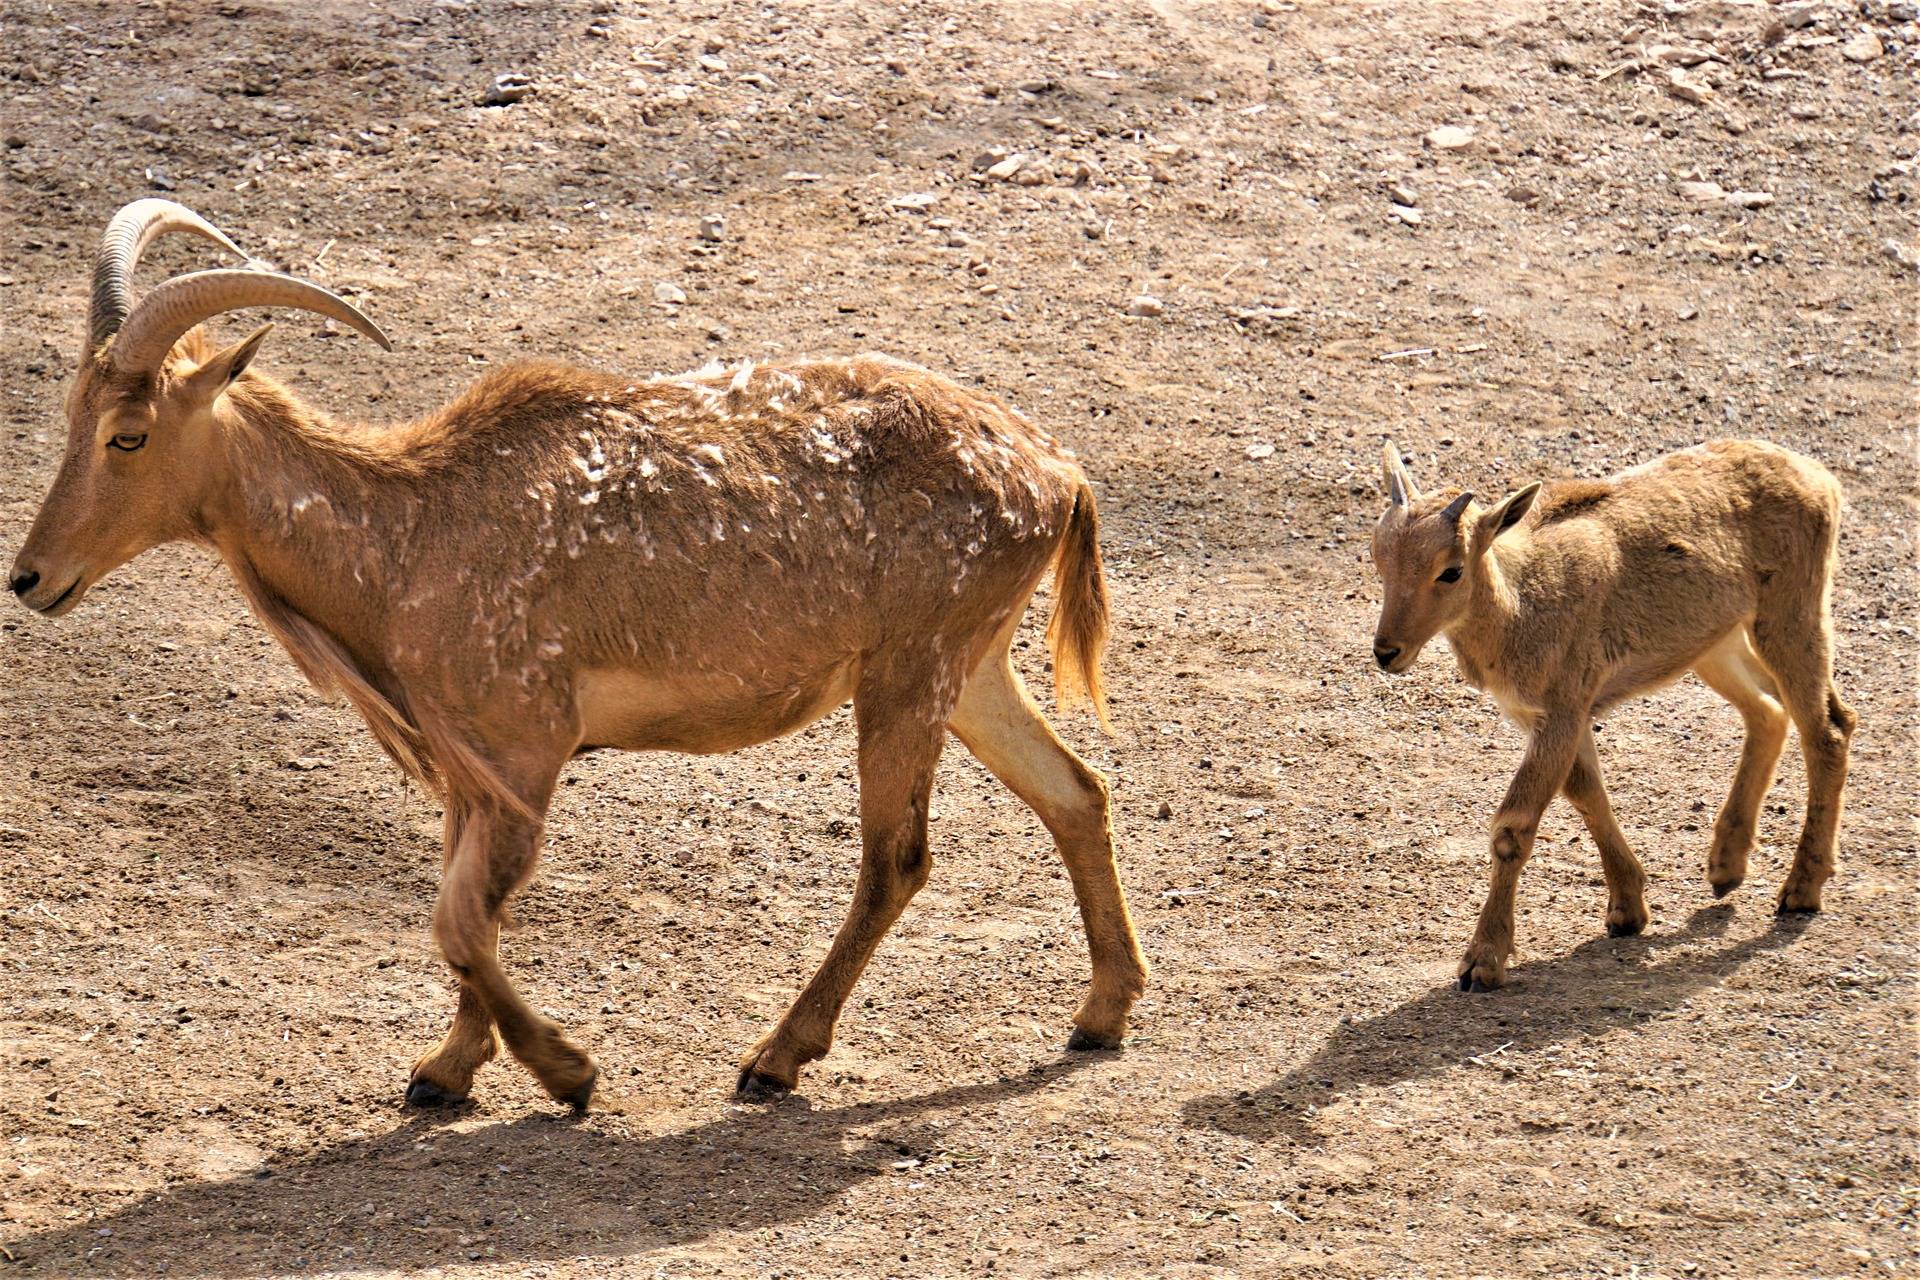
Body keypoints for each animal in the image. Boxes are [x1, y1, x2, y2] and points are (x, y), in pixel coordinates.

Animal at [7, 200, 1144, 1113]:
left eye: (129, 433)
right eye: (72, 415)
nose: (29, 577)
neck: (407, 532)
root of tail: (1056, 470)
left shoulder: (526, 742)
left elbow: (461, 921)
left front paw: (565, 1071)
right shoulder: (470, 765)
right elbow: (461, 911)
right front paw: (448, 1070)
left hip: (912, 667)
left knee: (896, 856)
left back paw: (776, 1056)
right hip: (971, 667)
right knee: (1076, 791)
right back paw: (1102, 1011)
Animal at [1374, 441, 1850, 990]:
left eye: (1450, 570)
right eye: (1379, 555)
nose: (1387, 651)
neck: (1522, 606)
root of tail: (1820, 478)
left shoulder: (1562, 708)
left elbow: (1514, 827)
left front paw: (1482, 961)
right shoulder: (1553, 715)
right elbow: (1586, 795)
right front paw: (1628, 908)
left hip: (1790, 614)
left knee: (1828, 728)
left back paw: (1801, 889)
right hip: (1715, 643)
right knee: (1771, 713)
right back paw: (1726, 867)